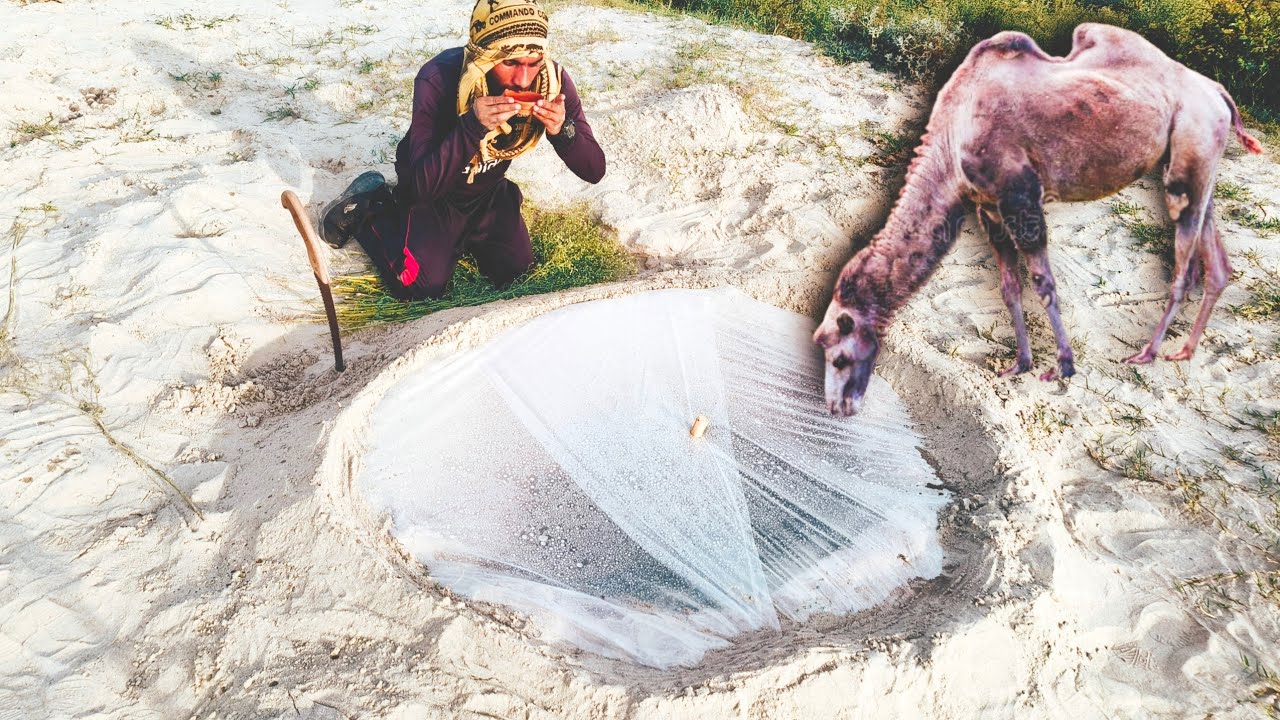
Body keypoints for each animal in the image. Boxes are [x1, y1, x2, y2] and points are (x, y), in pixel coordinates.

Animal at [814, 23, 1264, 416]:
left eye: (837, 356)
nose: (838, 407)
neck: (953, 133)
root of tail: (1218, 91)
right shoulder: (988, 207)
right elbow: (1009, 287)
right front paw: (1019, 364)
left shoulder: (1020, 194)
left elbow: (1043, 282)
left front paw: (1063, 365)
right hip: (1194, 161)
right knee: (1216, 260)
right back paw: (1183, 350)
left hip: (1190, 148)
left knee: (1184, 261)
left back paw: (1146, 353)